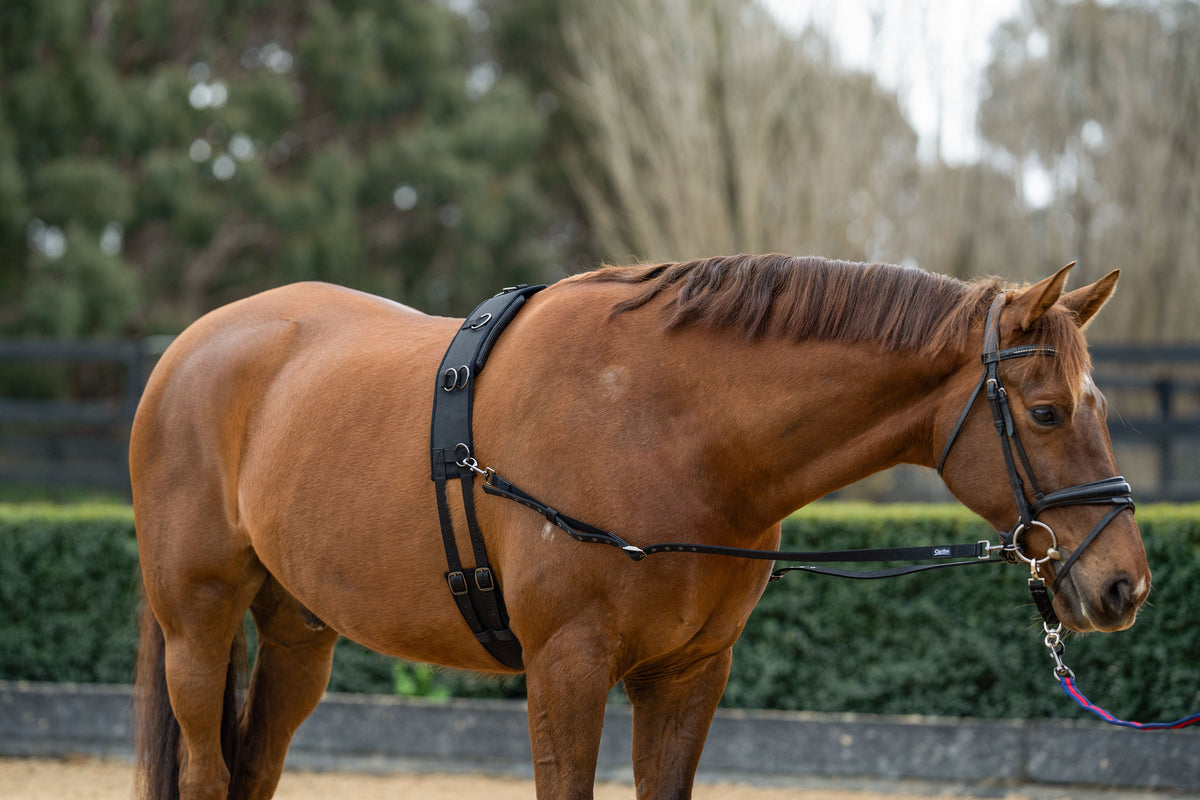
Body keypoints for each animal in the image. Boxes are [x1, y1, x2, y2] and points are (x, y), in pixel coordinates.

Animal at [130, 254, 1150, 800]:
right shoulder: (567, 667)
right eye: (1049, 412)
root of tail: (189, 347)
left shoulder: (689, 674)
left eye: (1101, 405)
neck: (669, 429)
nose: (1124, 584)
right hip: (196, 628)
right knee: (209, 771)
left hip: (299, 633)